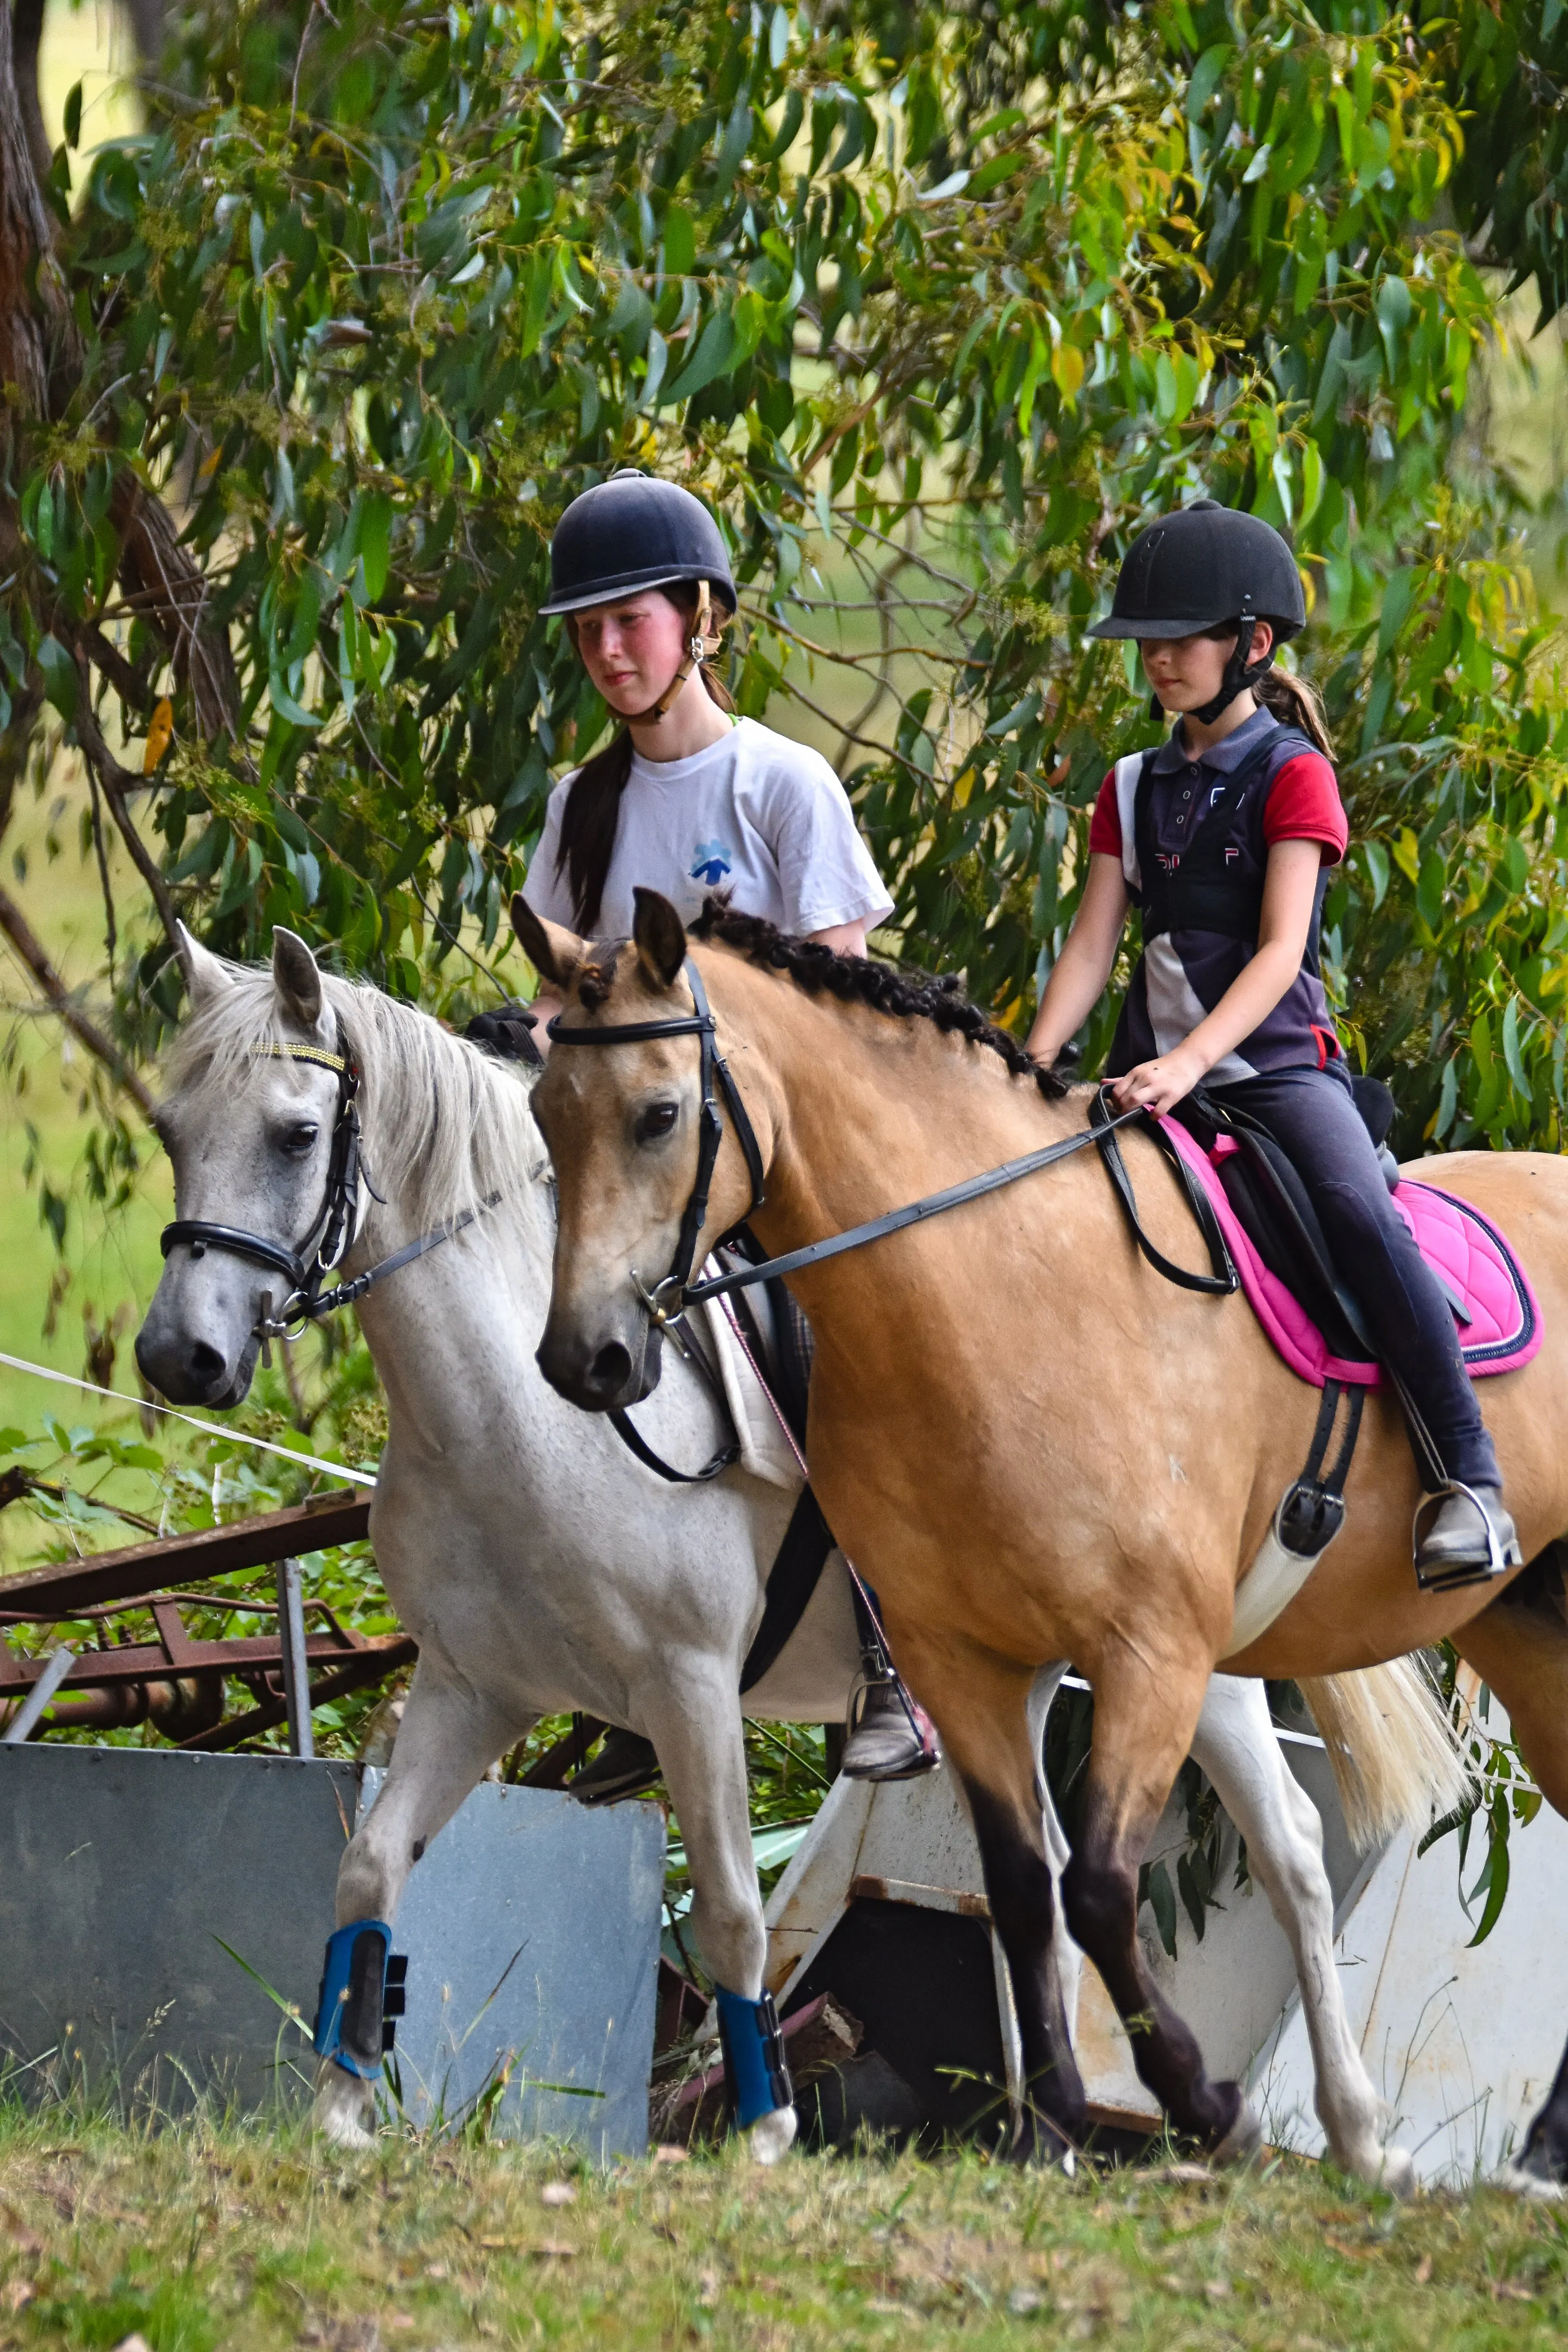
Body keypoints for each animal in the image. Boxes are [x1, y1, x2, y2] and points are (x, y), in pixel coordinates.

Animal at [512, 884, 1568, 2182]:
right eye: (546, 1112)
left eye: (660, 1114)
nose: (588, 1359)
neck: (997, 1295)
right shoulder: (962, 1660)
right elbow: (1028, 1888)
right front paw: (1055, 2121)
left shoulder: (1151, 1652)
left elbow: (1103, 1887)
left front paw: (1204, 2102)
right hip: (1529, 1635)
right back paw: (1507, 2150)